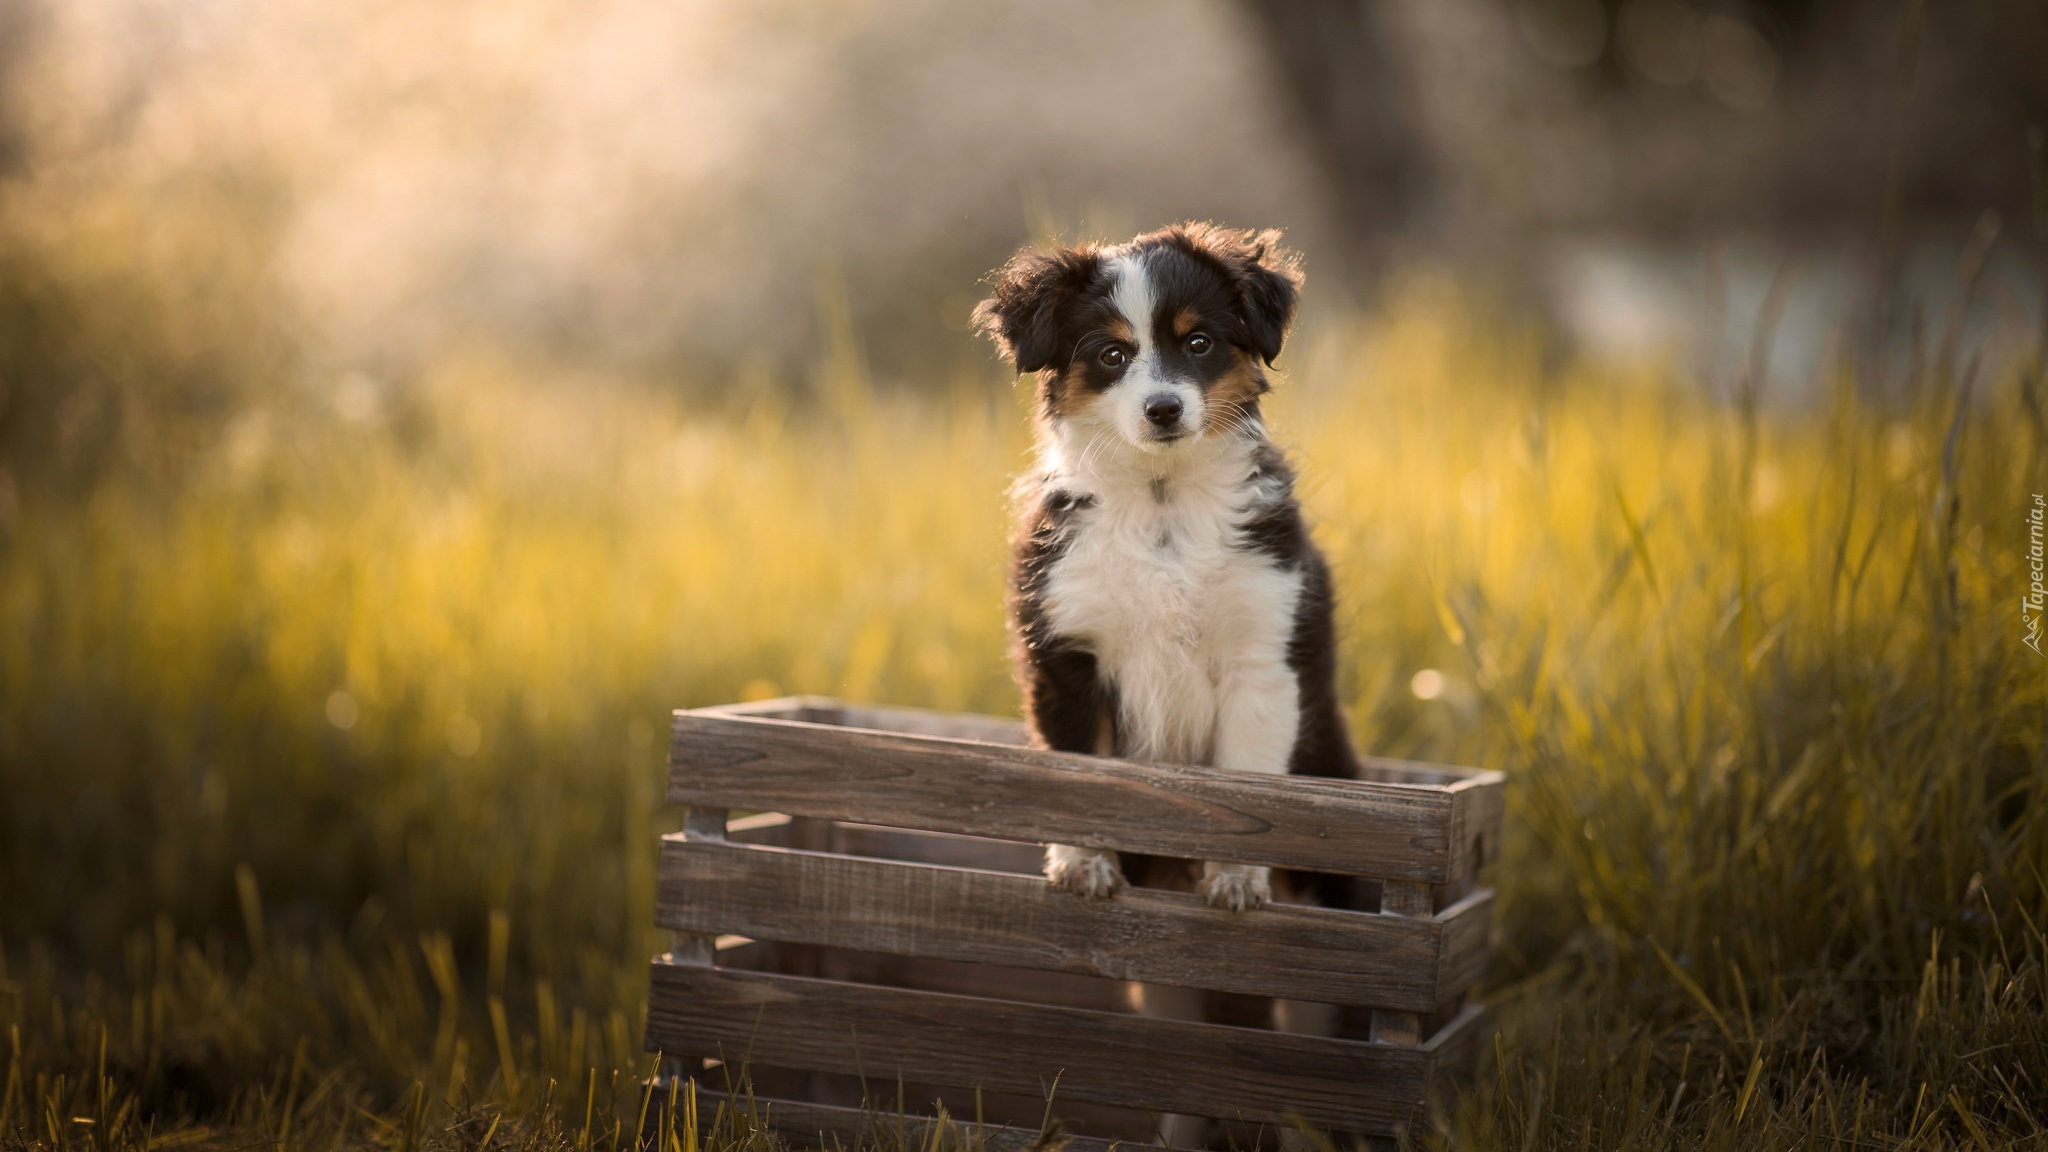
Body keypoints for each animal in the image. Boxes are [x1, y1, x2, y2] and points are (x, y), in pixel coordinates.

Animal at [974, 222, 1359, 906]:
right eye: (1111, 355)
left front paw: (1235, 878)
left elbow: (1250, 784)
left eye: (1198, 343)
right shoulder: (1069, 653)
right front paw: (1084, 863)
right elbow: (1077, 771)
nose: (1163, 409)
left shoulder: (1259, 655)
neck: (1163, 504)